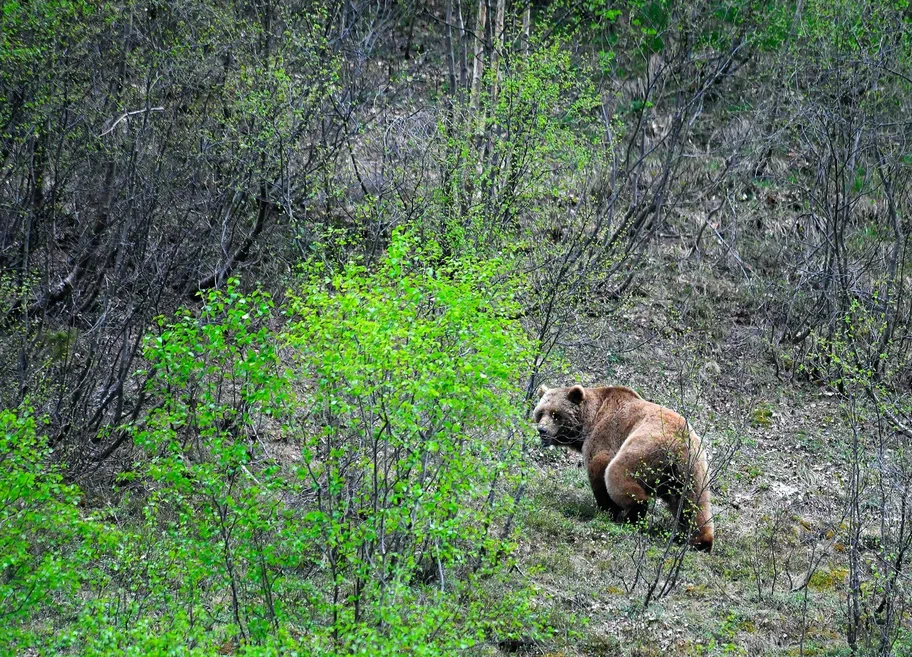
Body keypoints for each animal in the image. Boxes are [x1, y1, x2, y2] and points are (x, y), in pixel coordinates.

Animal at [532, 382, 716, 552]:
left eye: (556, 414)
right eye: (540, 413)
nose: (542, 430)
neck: (590, 420)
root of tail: (680, 444)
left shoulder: (605, 433)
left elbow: (599, 466)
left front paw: (607, 509)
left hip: (646, 446)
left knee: (618, 472)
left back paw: (635, 512)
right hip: (692, 469)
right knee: (693, 502)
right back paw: (701, 541)